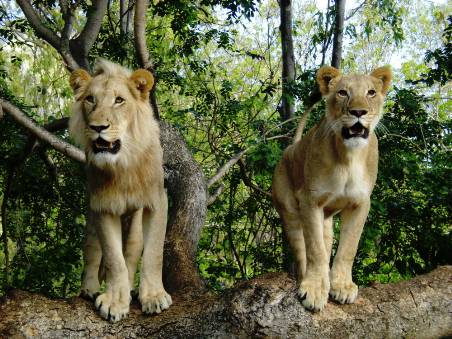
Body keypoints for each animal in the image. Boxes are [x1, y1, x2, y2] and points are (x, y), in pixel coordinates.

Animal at [69, 59, 171, 322]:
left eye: (119, 100)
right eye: (90, 99)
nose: (98, 127)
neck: (123, 164)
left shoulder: (157, 200)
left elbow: (154, 253)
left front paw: (153, 297)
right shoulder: (102, 205)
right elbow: (113, 258)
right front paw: (115, 301)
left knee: (133, 249)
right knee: (93, 249)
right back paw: (90, 289)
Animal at [272, 65, 392, 312]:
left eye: (371, 92)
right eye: (343, 93)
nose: (359, 112)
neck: (349, 158)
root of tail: (291, 147)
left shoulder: (360, 203)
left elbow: (348, 248)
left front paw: (342, 286)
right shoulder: (310, 201)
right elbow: (315, 250)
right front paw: (315, 289)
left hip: (326, 221)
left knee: (326, 243)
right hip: (290, 213)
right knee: (302, 253)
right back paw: (306, 280)